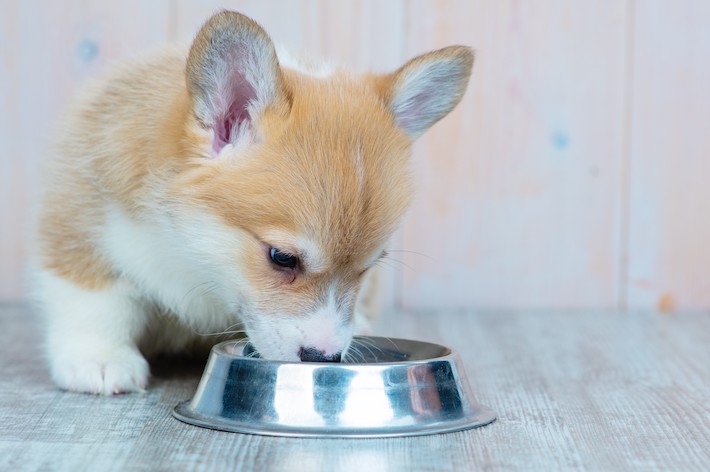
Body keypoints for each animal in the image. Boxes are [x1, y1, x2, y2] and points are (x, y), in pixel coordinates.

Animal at [36, 11, 476, 394]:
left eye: (368, 268)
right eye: (282, 257)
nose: (325, 357)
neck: (191, 252)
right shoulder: (82, 225)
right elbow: (97, 301)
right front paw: (99, 359)